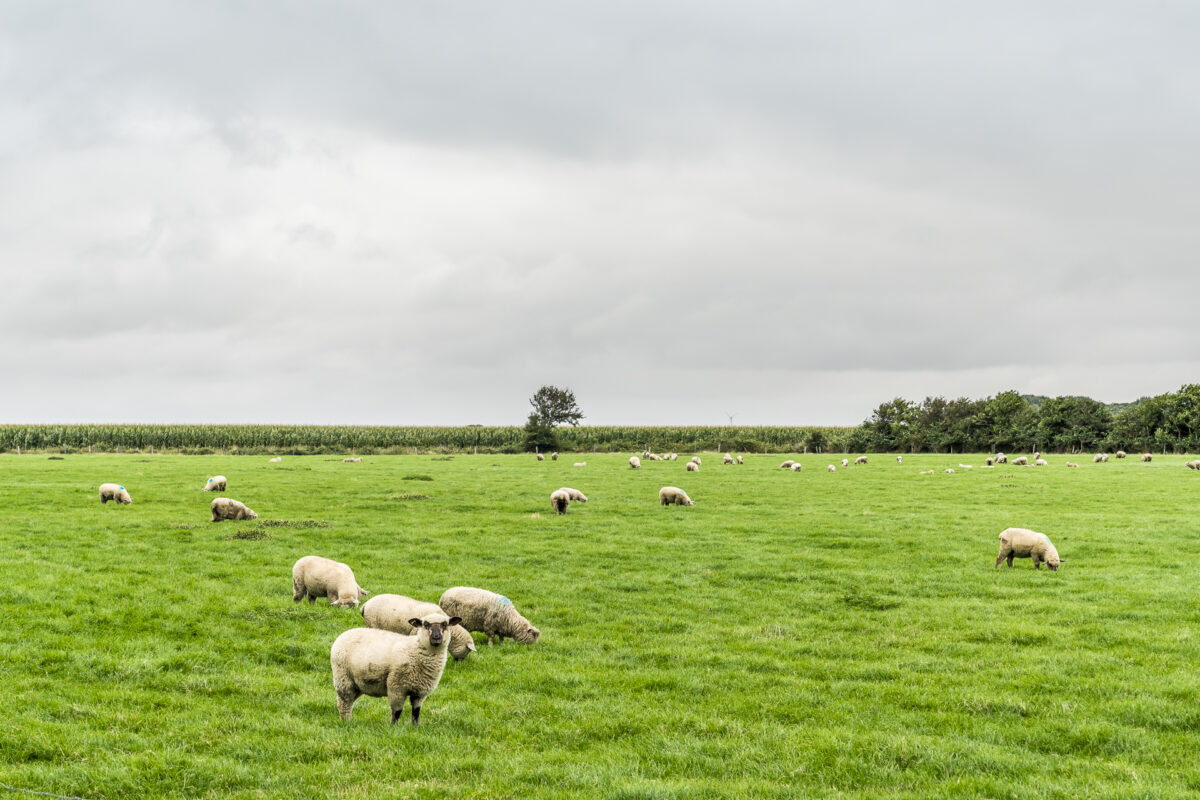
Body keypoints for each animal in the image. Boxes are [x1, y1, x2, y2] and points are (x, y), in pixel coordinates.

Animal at [328, 614, 458, 724]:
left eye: (445, 624)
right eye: (425, 624)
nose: (436, 637)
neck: (415, 649)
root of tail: (343, 634)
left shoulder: (420, 692)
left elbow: (416, 712)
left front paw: (415, 727)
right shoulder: (397, 687)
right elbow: (397, 712)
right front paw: (393, 727)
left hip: (358, 684)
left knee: (348, 702)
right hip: (343, 679)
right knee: (344, 703)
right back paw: (346, 722)